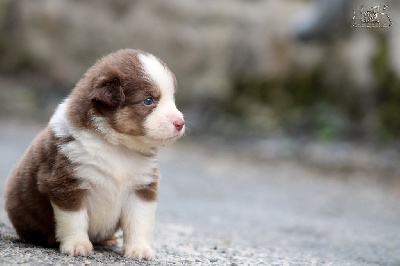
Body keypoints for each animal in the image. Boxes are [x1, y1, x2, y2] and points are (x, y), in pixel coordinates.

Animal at [3, 48, 185, 260]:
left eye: (172, 98)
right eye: (149, 101)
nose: (180, 122)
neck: (118, 147)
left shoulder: (142, 187)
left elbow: (140, 221)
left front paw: (139, 249)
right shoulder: (66, 183)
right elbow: (74, 219)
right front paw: (77, 245)